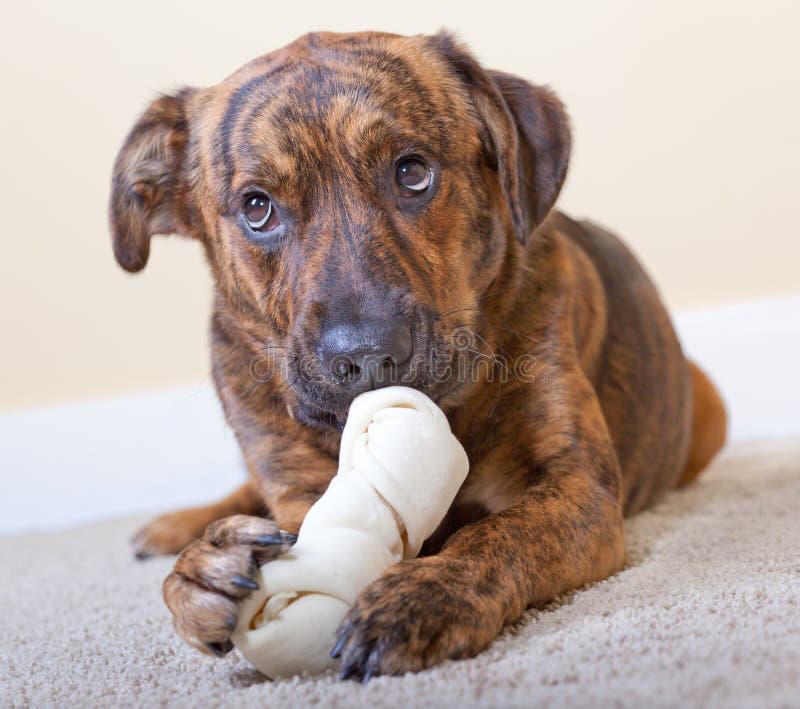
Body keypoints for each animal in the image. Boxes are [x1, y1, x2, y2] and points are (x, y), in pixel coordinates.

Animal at [109, 30, 728, 676]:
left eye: (412, 172)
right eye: (257, 208)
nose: (366, 356)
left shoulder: (579, 487)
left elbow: (498, 532)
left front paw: (428, 592)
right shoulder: (299, 495)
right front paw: (197, 577)